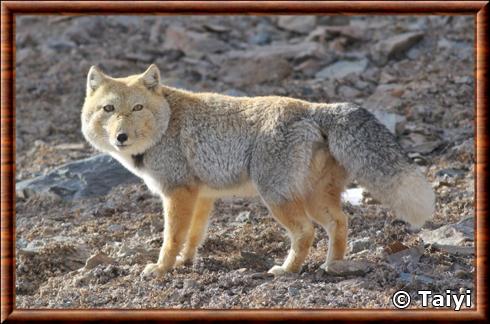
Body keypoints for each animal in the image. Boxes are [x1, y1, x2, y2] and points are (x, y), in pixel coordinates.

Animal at [81, 64, 436, 278]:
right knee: (340, 222)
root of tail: (315, 107)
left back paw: (287, 271)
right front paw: (186, 262)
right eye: (108, 109)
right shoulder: (202, 196)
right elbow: (193, 236)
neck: (167, 122)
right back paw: (332, 265)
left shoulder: (177, 192)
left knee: (305, 232)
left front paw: (161, 268)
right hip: (314, 198)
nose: (120, 137)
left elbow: (172, 238)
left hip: (277, 198)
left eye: (137, 108)